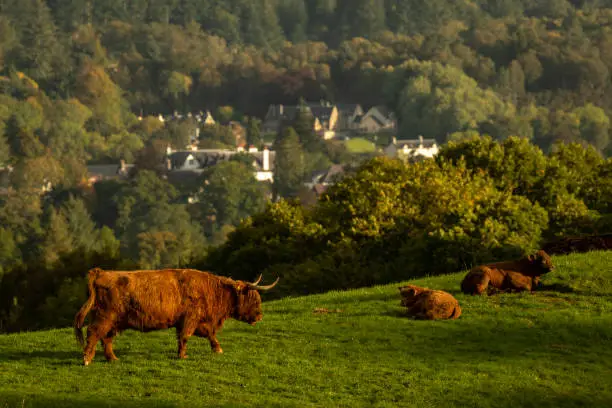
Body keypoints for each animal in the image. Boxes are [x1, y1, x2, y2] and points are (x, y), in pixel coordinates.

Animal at [72, 268, 280, 366]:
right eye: (253, 298)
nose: (259, 316)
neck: (213, 290)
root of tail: (100, 272)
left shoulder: (195, 320)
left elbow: (208, 334)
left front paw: (217, 348)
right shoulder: (190, 318)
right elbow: (186, 336)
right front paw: (182, 355)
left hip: (114, 321)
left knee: (106, 338)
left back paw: (112, 358)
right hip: (105, 316)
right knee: (93, 333)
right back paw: (87, 359)